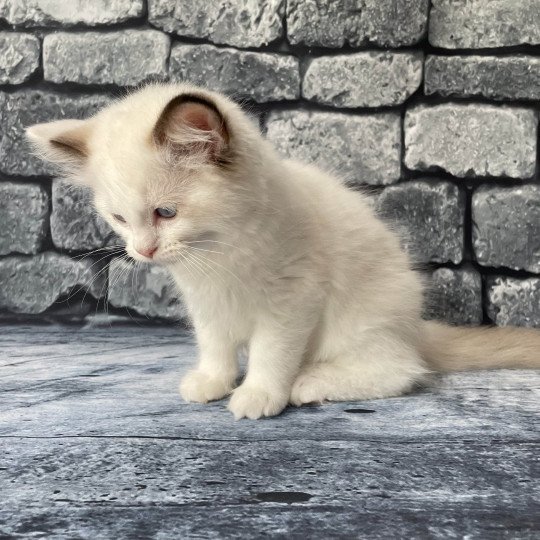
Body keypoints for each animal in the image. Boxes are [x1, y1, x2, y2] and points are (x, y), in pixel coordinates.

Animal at [26, 85, 540, 422]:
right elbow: (215, 348)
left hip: (363, 321)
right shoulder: (207, 305)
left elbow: (272, 355)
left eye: (165, 213)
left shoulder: (291, 301)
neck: (221, 253)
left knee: (400, 370)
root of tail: (416, 326)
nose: (144, 251)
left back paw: (309, 384)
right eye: (119, 219)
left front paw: (257, 396)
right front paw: (212, 383)